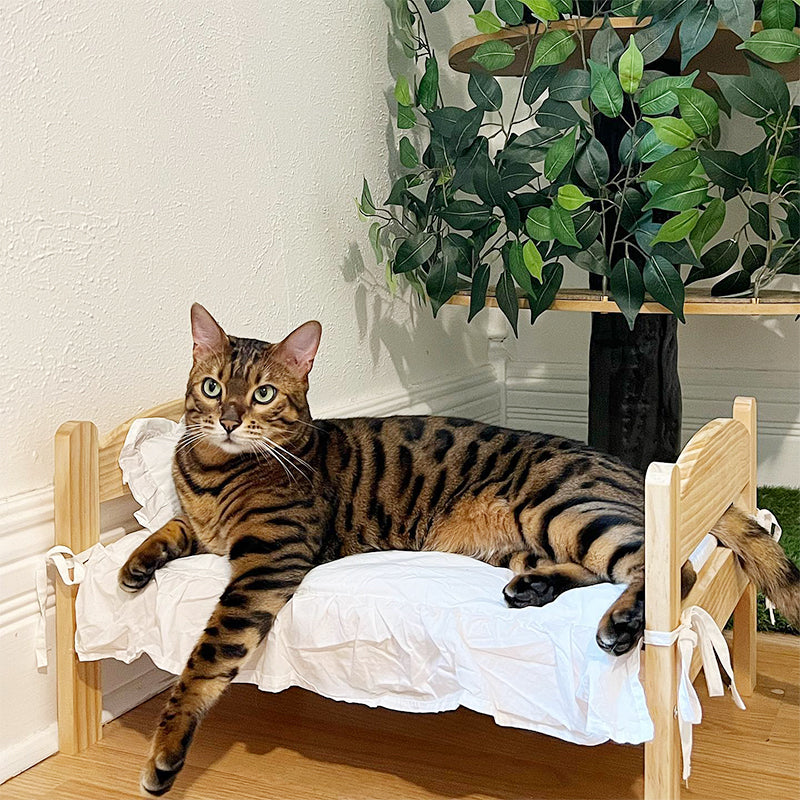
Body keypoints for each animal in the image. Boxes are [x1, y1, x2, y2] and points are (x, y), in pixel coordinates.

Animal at [120, 304, 800, 792]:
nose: (229, 418)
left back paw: (624, 622)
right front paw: (134, 563)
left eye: (263, 394)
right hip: (521, 542)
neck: (213, 472)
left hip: (563, 508)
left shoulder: (268, 561)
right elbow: (168, 529)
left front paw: (165, 751)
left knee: (670, 571)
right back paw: (535, 589)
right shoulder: (201, 529)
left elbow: (206, 658)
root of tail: (637, 467)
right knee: (601, 569)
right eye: (212, 386)